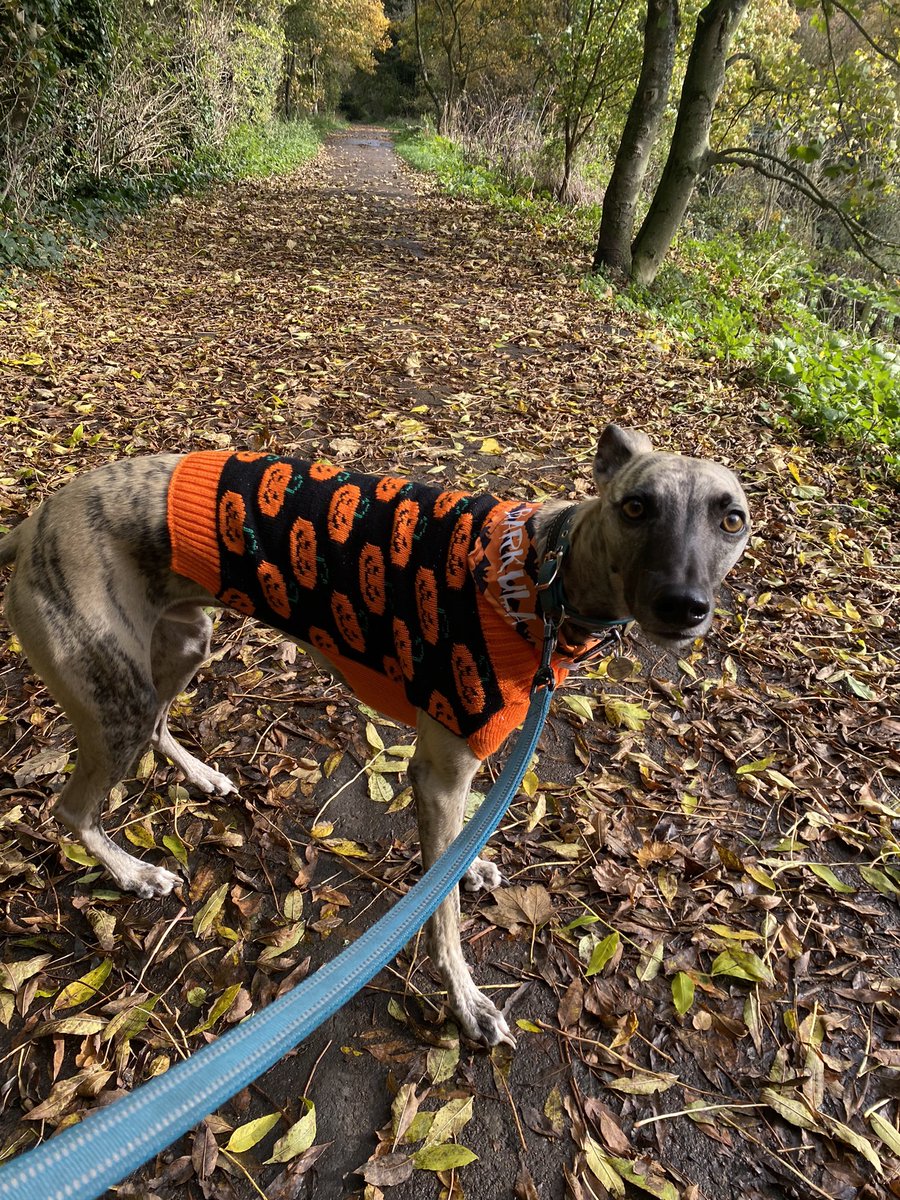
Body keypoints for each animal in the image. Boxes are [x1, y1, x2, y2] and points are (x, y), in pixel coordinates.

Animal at [0, 427, 748, 1046]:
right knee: (72, 808)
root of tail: (34, 523)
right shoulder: (440, 770)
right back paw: (132, 872)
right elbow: (440, 910)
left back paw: (202, 776)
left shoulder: (456, 770)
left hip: (181, 642)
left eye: (732, 518)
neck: (541, 577)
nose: (683, 606)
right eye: (636, 507)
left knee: (157, 724)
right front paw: (466, 1001)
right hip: (116, 697)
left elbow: (455, 852)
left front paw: (472, 864)